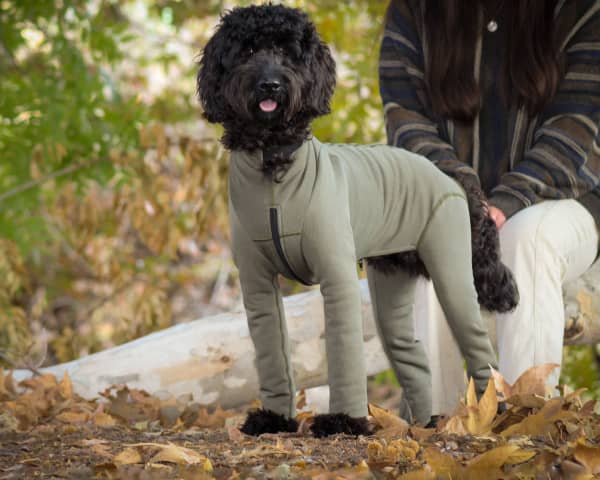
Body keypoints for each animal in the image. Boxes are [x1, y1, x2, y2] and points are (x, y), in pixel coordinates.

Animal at [196, 3, 516, 436]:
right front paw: (274, 419)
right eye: (246, 51)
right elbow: (271, 353)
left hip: (454, 277)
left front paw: (343, 421)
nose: (270, 85)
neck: (273, 165)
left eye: (288, 53)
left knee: (480, 349)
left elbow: (345, 352)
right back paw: (423, 423)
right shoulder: (257, 284)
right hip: (392, 289)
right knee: (414, 360)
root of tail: (453, 177)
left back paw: (494, 412)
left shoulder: (338, 277)